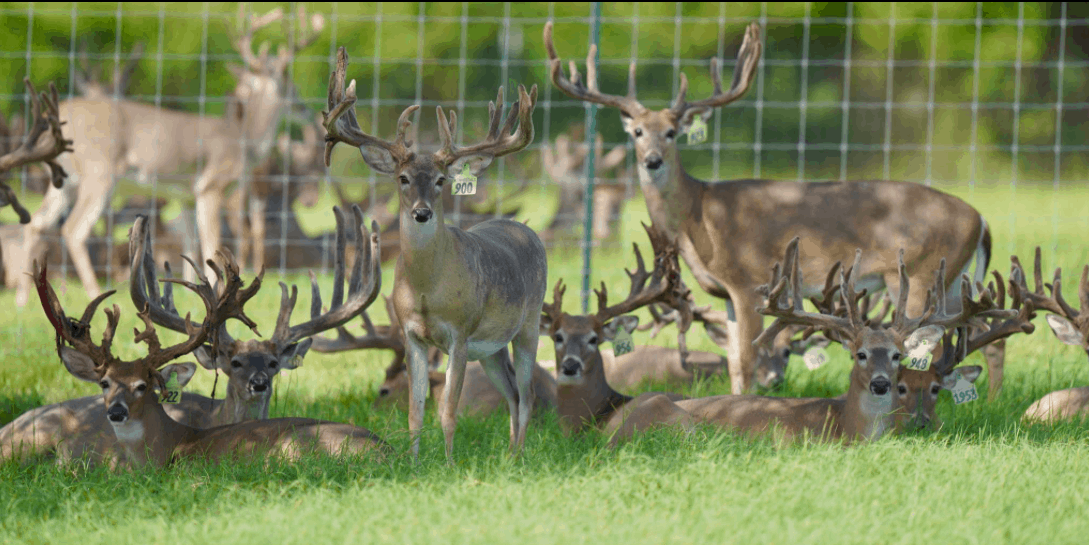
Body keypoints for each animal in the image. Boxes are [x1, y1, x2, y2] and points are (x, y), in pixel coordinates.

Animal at [15, 4, 325, 308]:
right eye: (291, 87)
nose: (306, 109)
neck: (244, 139)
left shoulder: (185, 196)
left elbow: (190, 244)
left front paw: (191, 292)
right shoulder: (211, 185)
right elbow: (213, 243)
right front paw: (217, 294)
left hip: (66, 180)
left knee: (37, 223)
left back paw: (22, 298)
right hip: (99, 172)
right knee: (74, 229)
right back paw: (94, 293)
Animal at [323, 46, 547, 460]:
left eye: (442, 180)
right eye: (403, 178)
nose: (422, 212)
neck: (428, 290)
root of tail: (525, 228)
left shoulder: (459, 332)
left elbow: (447, 410)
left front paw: (448, 463)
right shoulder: (412, 334)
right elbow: (415, 410)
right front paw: (413, 463)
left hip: (529, 323)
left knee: (527, 394)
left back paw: (520, 455)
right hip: (491, 348)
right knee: (510, 393)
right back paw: (509, 456)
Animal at [544, 21, 994, 395]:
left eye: (671, 132)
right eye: (637, 132)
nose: (652, 160)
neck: (699, 216)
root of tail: (981, 219)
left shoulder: (750, 281)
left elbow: (746, 359)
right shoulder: (724, 292)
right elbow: (731, 360)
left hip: (917, 276)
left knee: (931, 345)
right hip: (948, 283)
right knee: (974, 332)